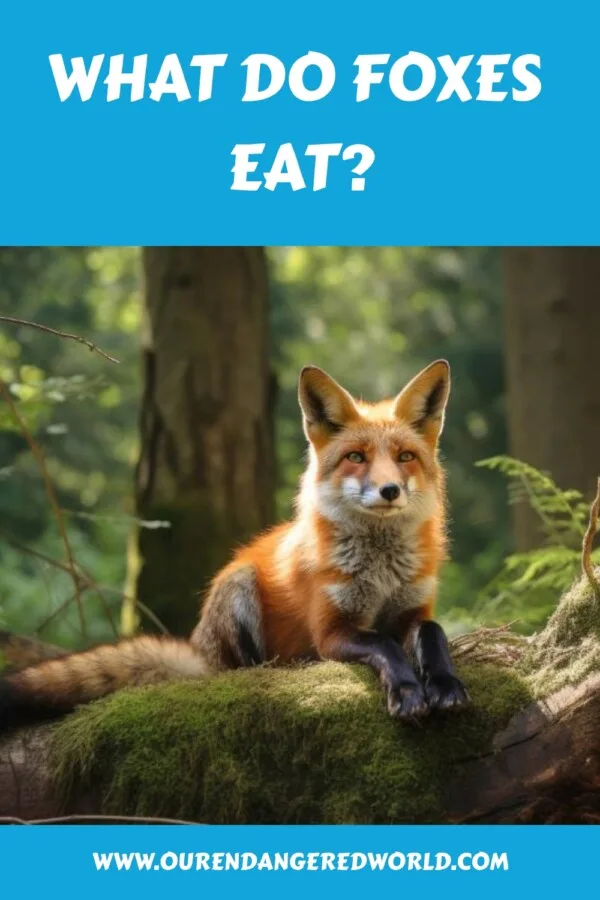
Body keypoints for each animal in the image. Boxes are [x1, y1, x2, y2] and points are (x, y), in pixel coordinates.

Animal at [0, 359, 468, 727]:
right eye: (356, 457)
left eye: (405, 457)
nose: (390, 490)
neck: (381, 570)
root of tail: (198, 648)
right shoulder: (332, 630)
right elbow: (384, 645)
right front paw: (407, 690)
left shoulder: (412, 609)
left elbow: (433, 632)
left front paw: (444, 684)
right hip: (239, 585)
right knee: (246, 670)